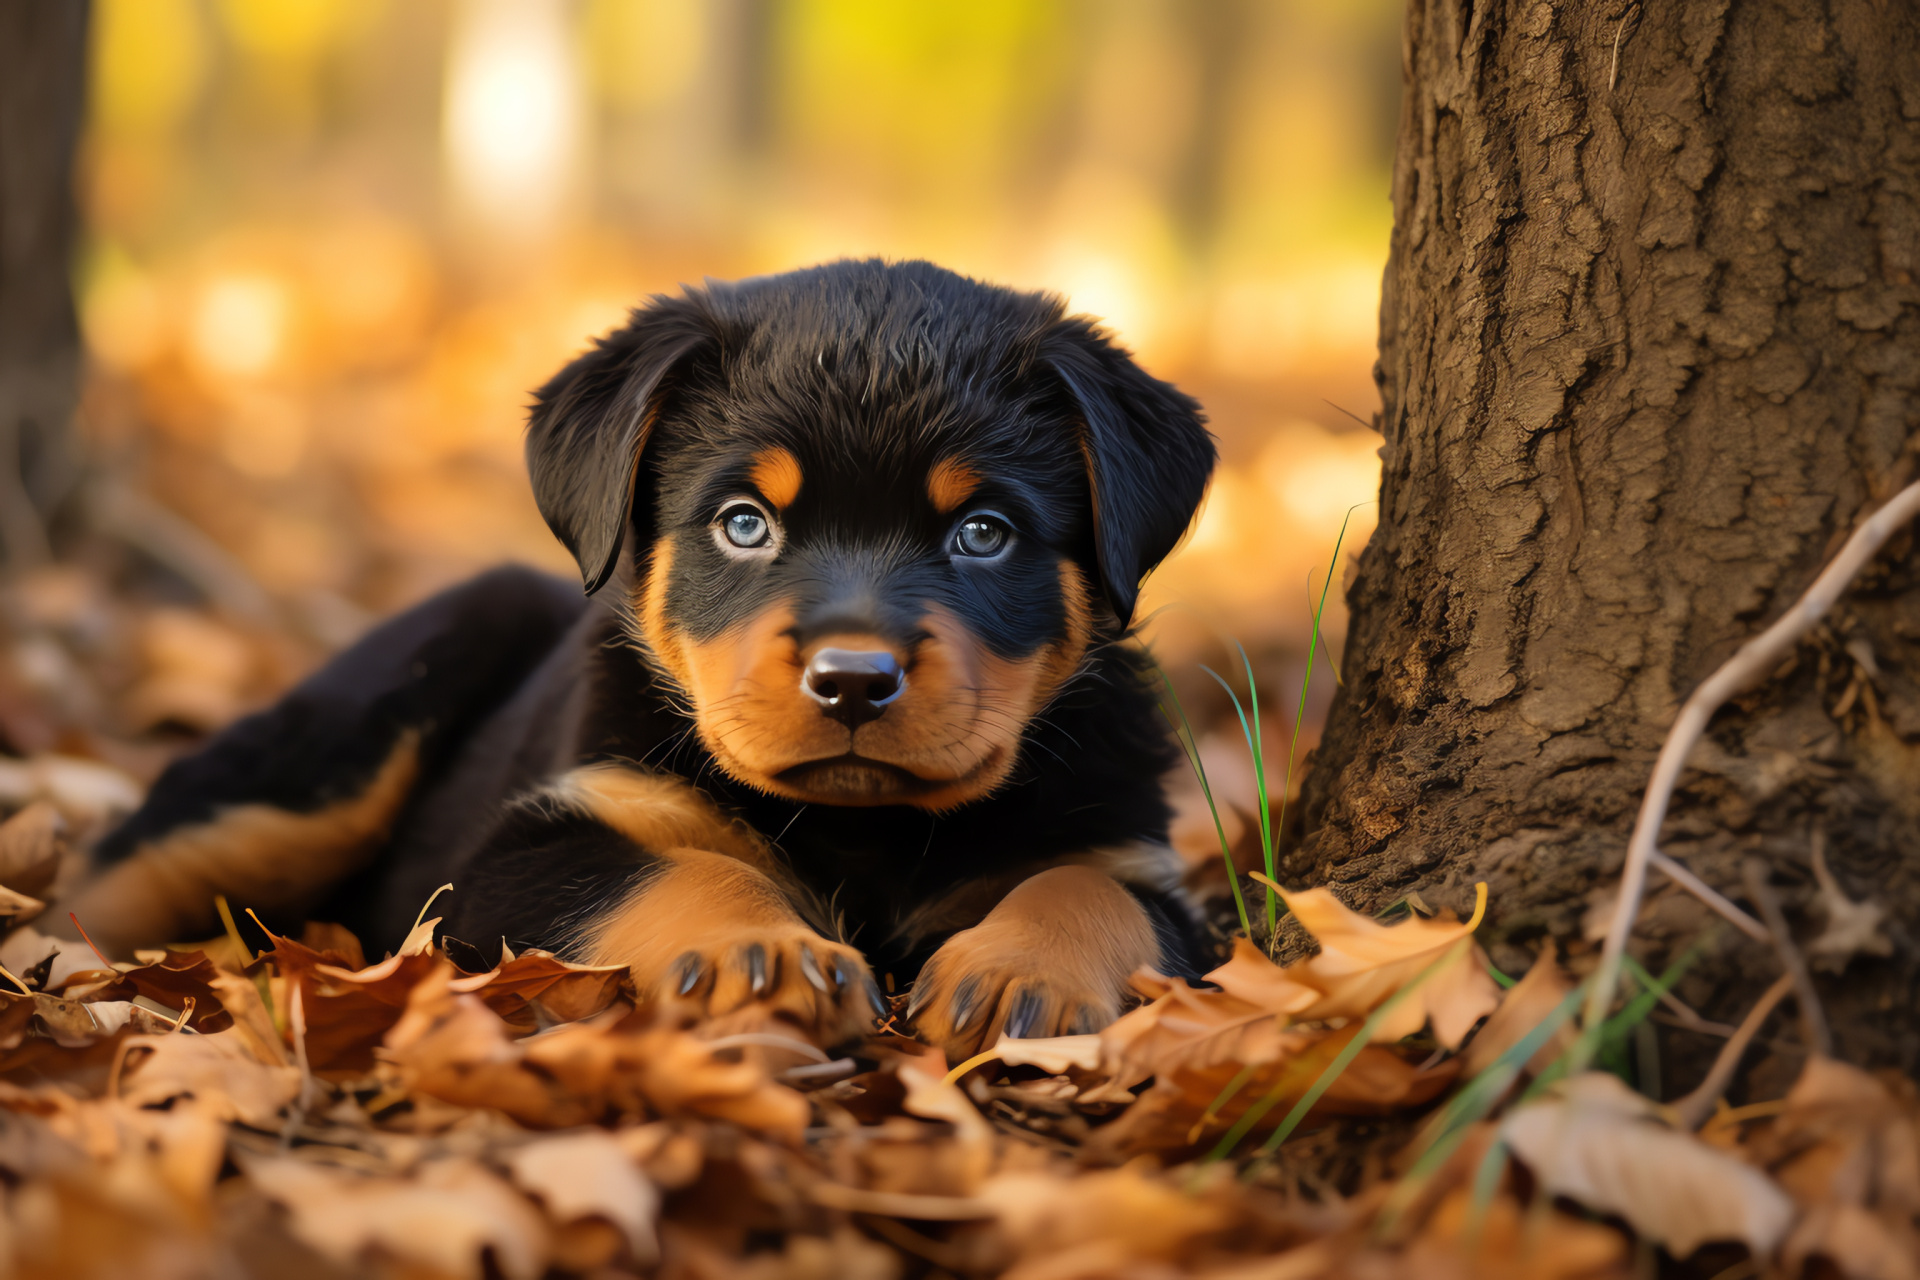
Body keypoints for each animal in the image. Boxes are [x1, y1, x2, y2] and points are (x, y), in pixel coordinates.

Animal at [74, 255, 1221, 1059]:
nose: (853, 680)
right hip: (360, 731)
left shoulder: (1139, 860)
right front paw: (759, 958)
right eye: (745, 523)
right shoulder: (528, 847)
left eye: (984, 533)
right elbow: (677, 866)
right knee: (129, 866)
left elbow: (1089, 889)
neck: (868, 830)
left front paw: (1024, 974)